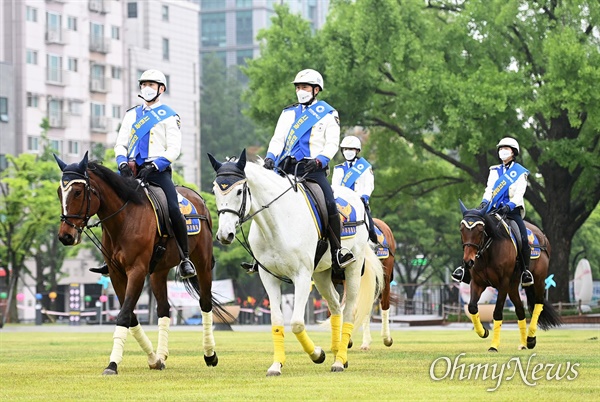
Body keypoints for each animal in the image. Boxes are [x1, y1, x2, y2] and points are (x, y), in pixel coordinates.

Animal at [54, 152, 220, 376]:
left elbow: (124, 315)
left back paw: (210, 354)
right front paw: (153, 359)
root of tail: (197, 197)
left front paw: (112, 364)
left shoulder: (137, 271)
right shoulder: (116, 274)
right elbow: (130, 316)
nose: (65, 236)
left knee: (205, 302)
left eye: (78, 192)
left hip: (202, 262)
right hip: (159, 271)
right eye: (59, 192)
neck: (124, 219)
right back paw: (162, 355)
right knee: (164, 309)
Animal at [209, 149, 382, 376]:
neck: (276, 223)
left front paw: (317, 354)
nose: (224, 234)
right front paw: (276, 365)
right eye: (215, 191)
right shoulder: (269, 277)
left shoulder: (302, 276)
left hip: (353, 268)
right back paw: (337, 352)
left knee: (350, 311)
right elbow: (276, 321)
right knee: (336, 305)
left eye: (239, 191)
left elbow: (297, 323)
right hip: (321, 274)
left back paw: (339, 359)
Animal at [460, 201, 564, 352]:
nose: (468, 261)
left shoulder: (503, 283)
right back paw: (523, 343)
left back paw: (530, 339)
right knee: (520, 310)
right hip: (513, 286)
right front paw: (483, 332)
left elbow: (497, 312)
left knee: (538, 304)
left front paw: (494, 345)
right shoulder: (478, 283)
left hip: (538, 280)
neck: (489, 250)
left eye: (480, 230)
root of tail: (542, 236)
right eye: (462, 229)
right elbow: (472, 307)